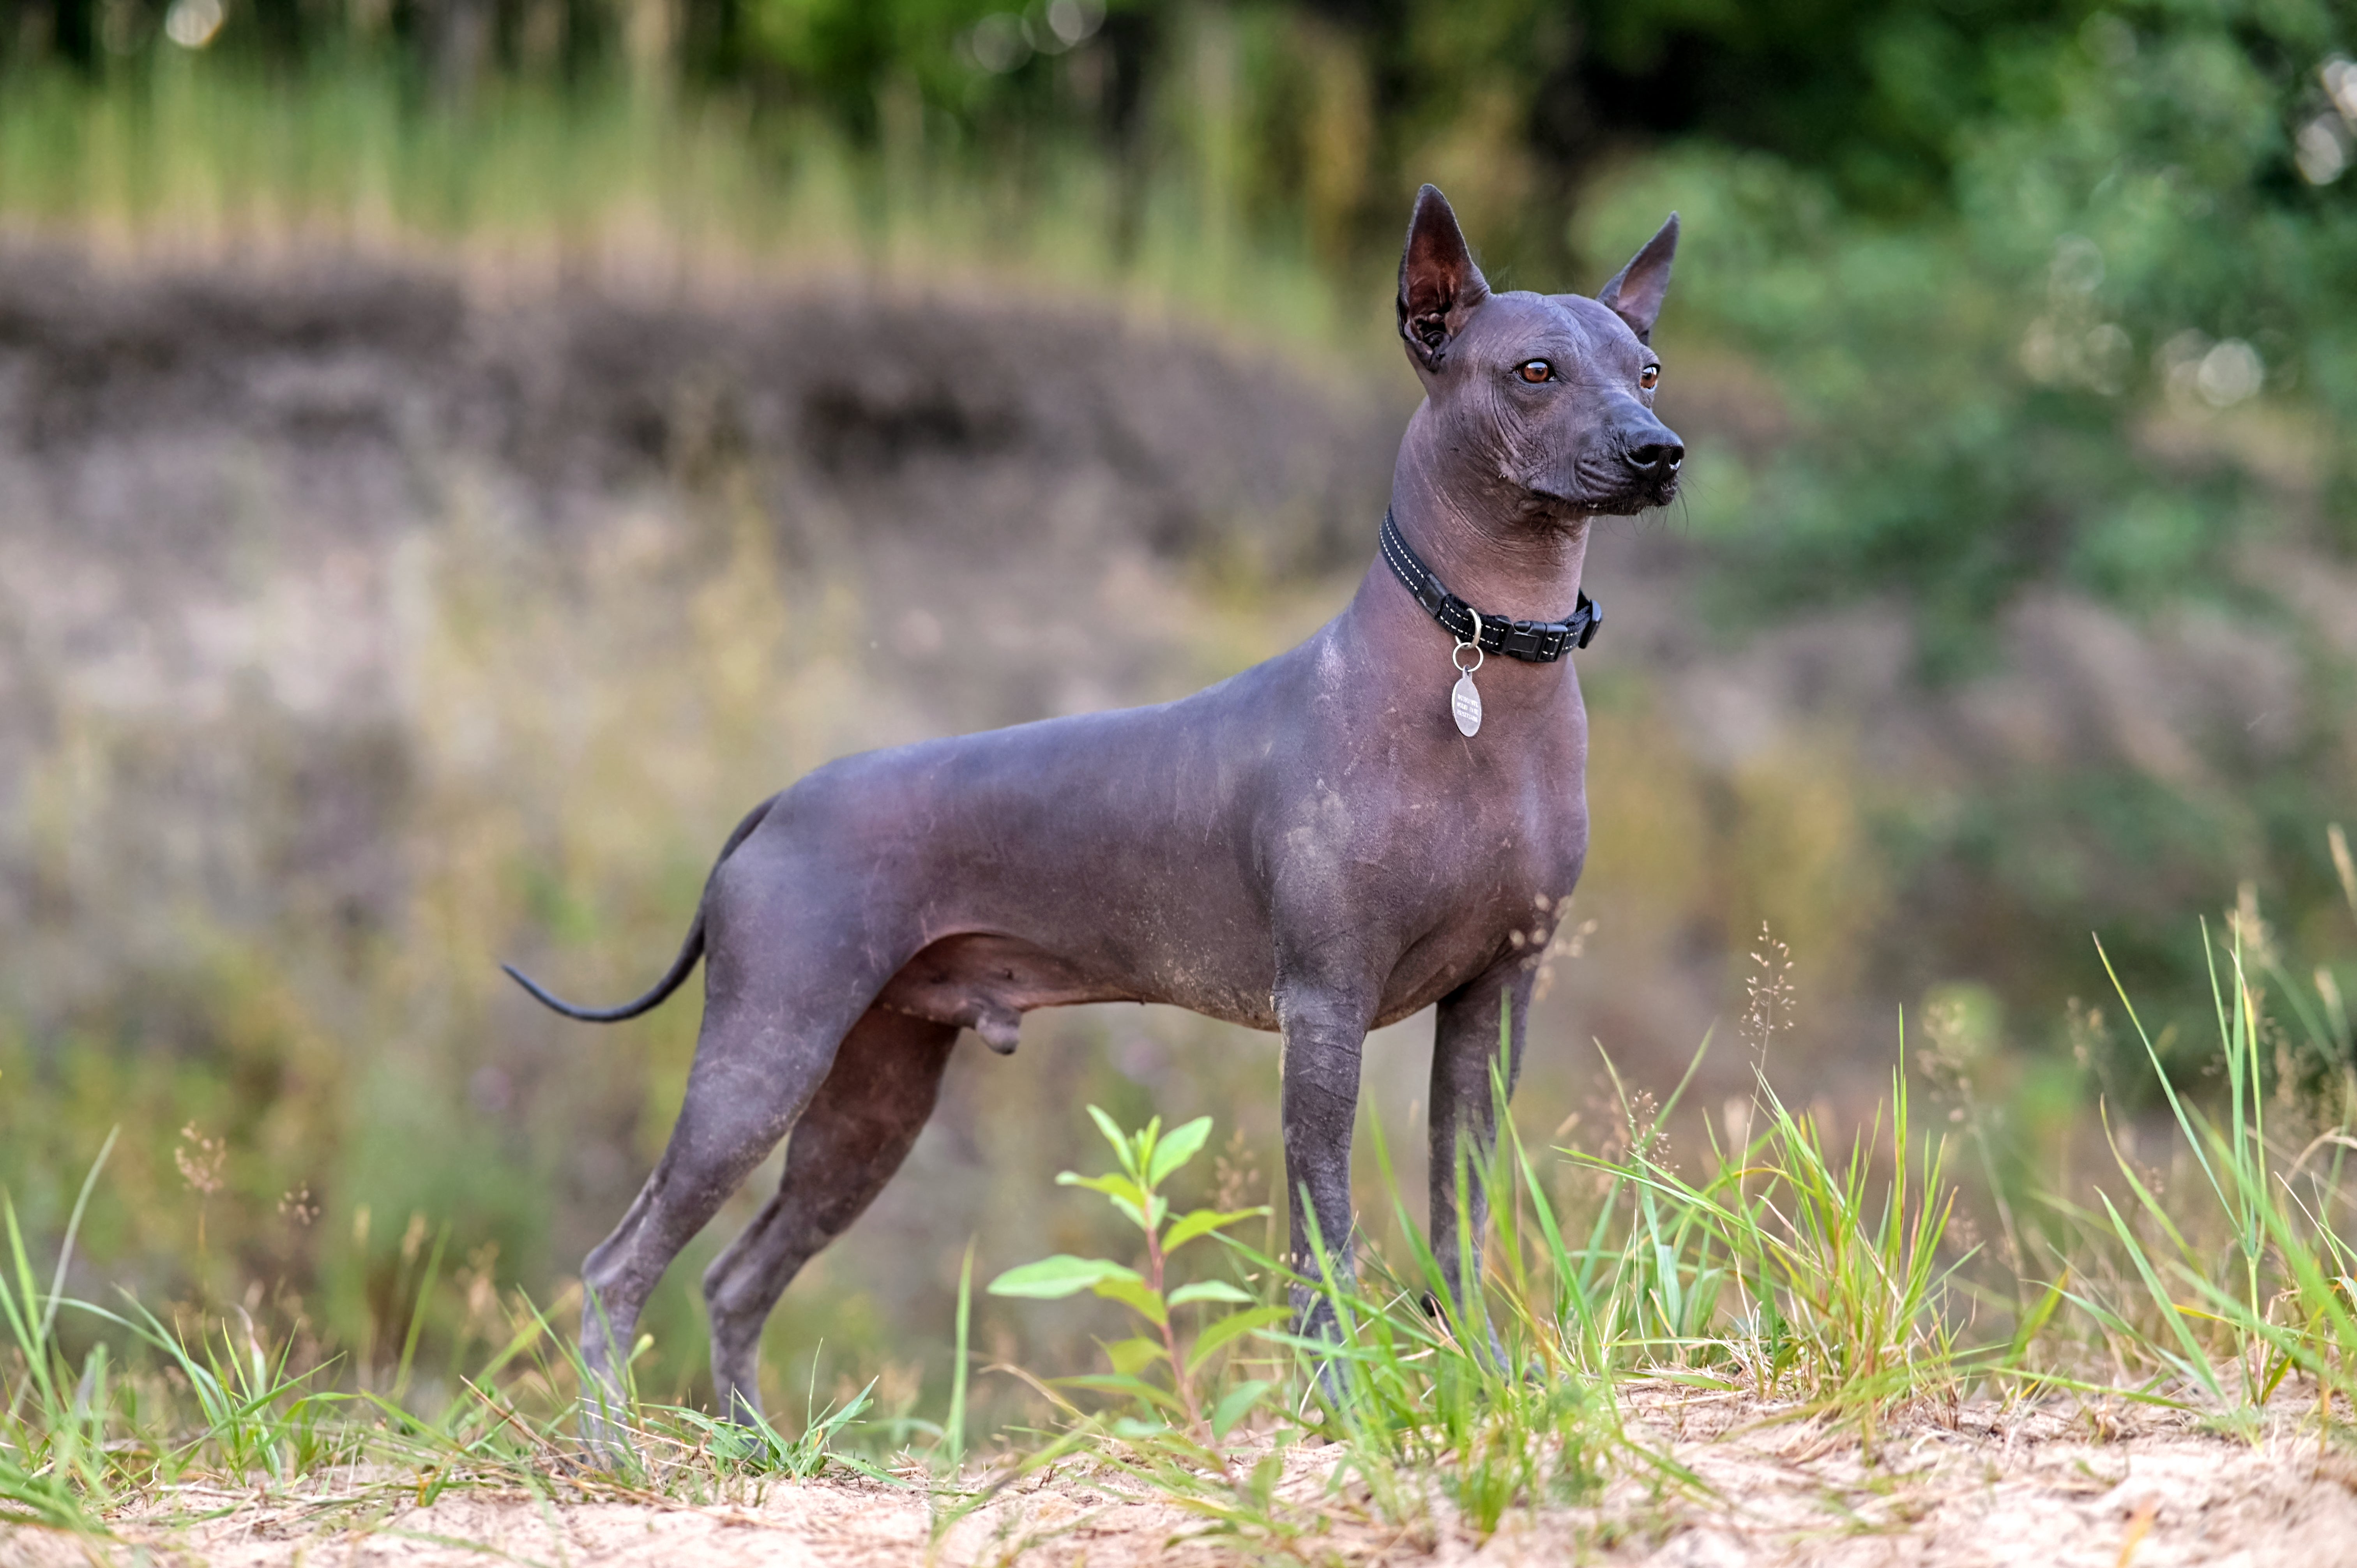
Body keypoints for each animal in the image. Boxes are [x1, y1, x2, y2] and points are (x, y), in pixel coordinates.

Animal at [511, 186, 1697, 1414]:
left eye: (1649, 370)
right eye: (1534, 370)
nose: (1658, 450)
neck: (1481, 664)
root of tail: (781, 799)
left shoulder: (1495, 997)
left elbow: (1461, 1213)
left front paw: (1488, 1374)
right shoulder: (1327, 1009)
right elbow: (1324, 1227)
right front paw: (1337, 1398)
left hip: (873, 1094)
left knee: (736, 1277)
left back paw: (758, 1445)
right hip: (766, 1053)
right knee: (618, 1266)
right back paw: (616, 1443)